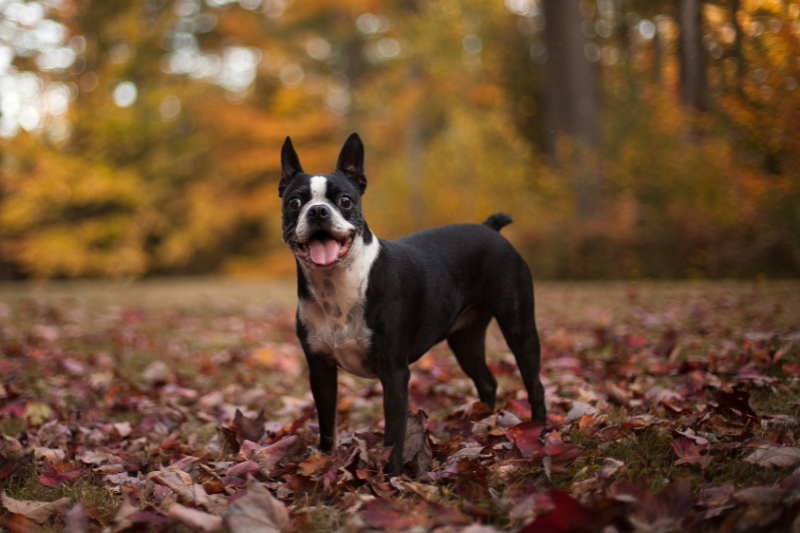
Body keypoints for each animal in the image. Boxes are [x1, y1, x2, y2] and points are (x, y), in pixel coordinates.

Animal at [278, 133, 548, 474]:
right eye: (294, 203)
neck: (337, 287)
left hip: (518, 327)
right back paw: (479, 428)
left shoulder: (394, 373)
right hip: (465, 338)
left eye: (345, 201)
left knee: (534, 383)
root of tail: (489, 228)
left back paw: (540, 433)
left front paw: (390, 476)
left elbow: (394, 431)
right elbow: (327, 423)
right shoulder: (320, 369)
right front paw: (323, 462)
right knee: (486, 381)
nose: (317, 211)